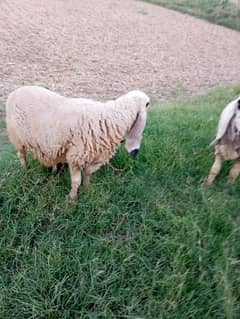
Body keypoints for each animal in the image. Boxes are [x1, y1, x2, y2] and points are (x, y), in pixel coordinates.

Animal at [6, 86, 150, 201]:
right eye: (147, 104)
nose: (135, 152)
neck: (109, 119)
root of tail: (15, 91)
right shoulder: (76, 156)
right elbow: (76, 181)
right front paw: (72, 199)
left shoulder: (95, 156)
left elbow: (88, 174)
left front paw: (88, 189)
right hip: (17, 137)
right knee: (22, 155)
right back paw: (25, 171)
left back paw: (53, 170)